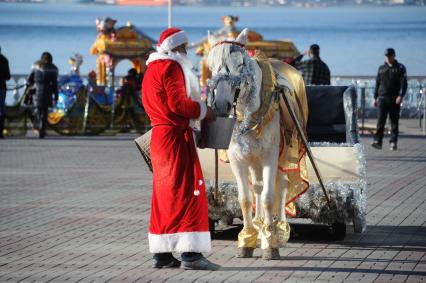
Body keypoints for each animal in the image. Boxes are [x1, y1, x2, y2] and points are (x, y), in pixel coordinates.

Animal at [207, 30, 310, 260]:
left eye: (239, 64)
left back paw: (279, 229)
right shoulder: (238, 158)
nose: (221, 104)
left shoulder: (270, 156)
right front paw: (247, 239)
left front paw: (271, 242)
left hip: (283, 152)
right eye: (211, 65)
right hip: (253, 158)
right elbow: (245, 198)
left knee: (281, 185)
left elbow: (269, 197)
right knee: (257, 187)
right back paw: (259, 224)